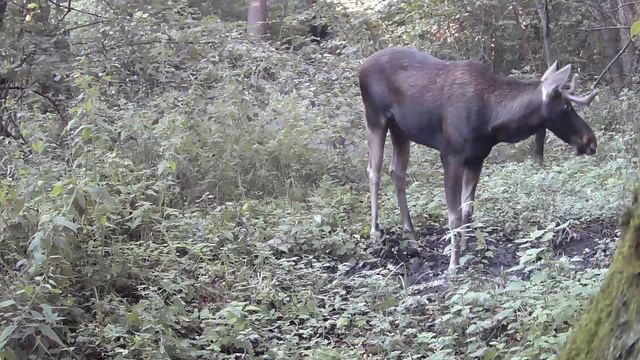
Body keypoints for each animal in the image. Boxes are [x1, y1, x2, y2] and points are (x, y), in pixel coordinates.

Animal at [358, 47, 596, 270]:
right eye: (566, 106)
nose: (591, 141)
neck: (492, 120)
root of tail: (361, 67)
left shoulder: (477, 158)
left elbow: (468, 208)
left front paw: (465, 248)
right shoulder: (450, 155)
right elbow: (453, 215)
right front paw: (453, 264)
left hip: (401, 129)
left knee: (397, 171)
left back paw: (412, 239)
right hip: (375, 117)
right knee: (374, 171)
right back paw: (375, 234)